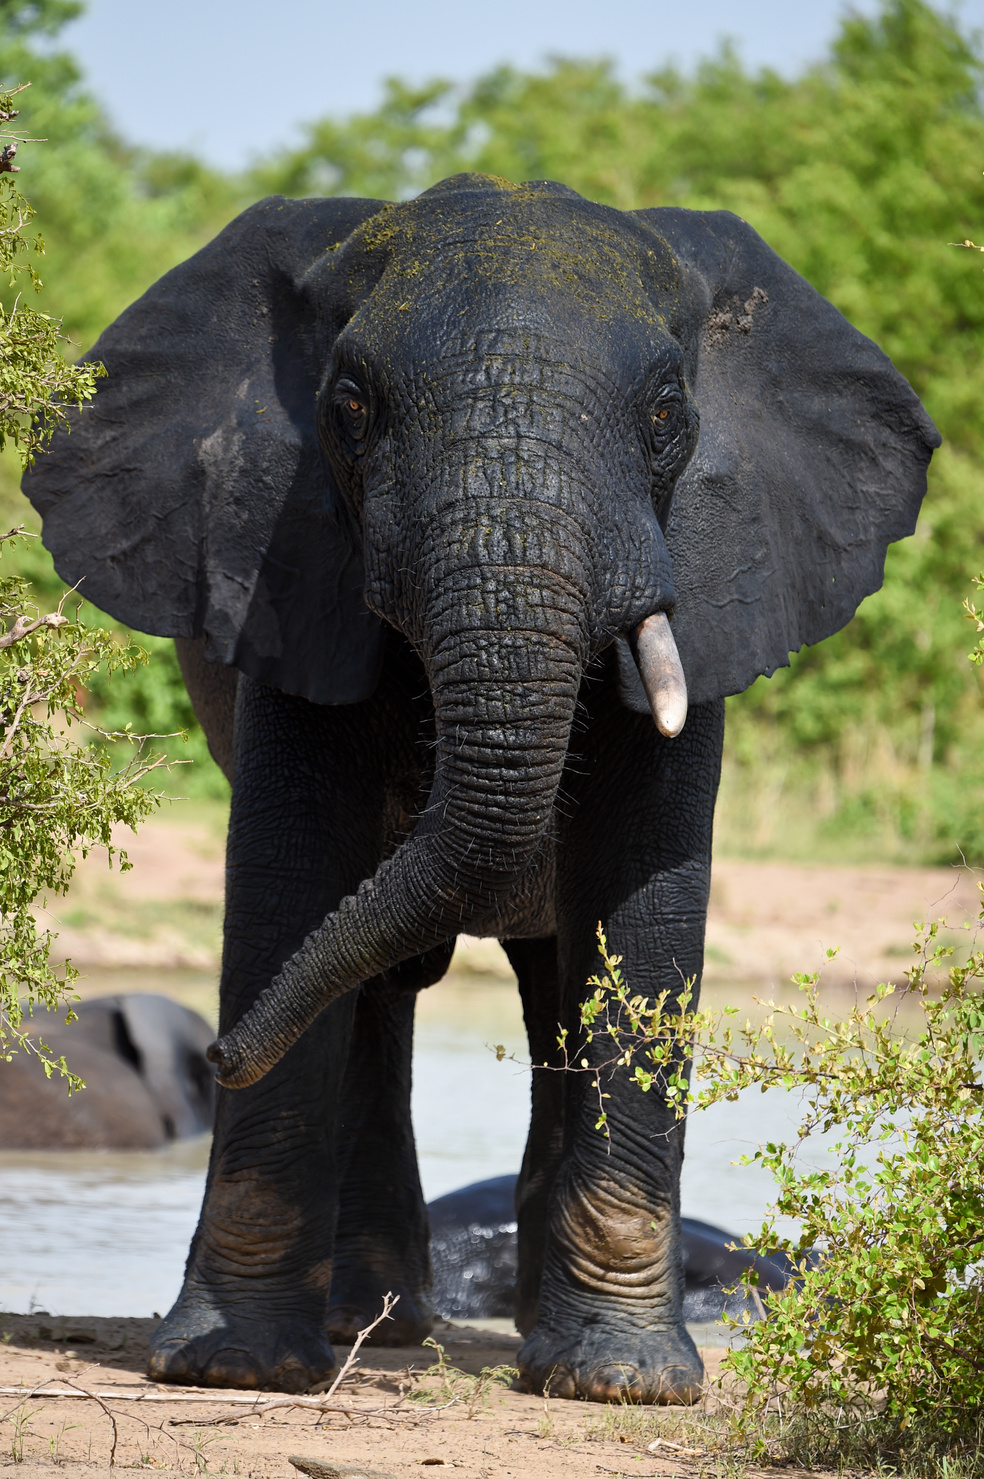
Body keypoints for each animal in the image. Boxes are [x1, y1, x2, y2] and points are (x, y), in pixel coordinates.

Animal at [24, 170, 935, 1396]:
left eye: (665, 415)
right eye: (350, 406)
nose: (220, 1054)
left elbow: (644, 896)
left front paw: (619, 1381)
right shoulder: (287, 566)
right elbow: (290, 875)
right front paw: (232, 1367)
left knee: (549, 981)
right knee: (377, 985)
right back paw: (377, 1322)